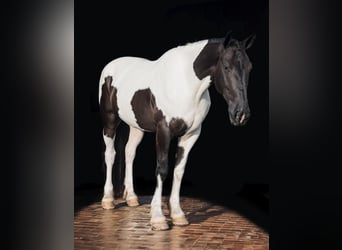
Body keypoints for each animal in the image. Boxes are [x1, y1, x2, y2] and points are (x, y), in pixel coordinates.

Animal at [97, 31, 255, 230]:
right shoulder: (164, 131)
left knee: (129, 153)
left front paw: (178, 214)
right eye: (226, 67)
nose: (241, 114)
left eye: (249, 68)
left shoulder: (191, 134)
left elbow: (179, 170)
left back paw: (131, 197)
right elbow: (162, 169)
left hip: (136, 126)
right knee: (110, 154)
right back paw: (108, 199)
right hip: (110, 121)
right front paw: (158, 217)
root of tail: (111, 67)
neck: (186, 84)